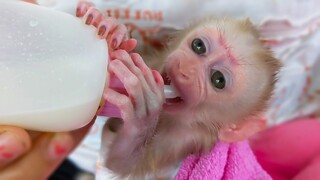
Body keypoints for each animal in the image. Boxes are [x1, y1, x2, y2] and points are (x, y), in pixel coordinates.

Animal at [77, 2, 280, 179]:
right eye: (198, 46)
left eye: (218, 80)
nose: (184, 69)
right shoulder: (155, 64)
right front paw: (112, 29)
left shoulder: (182, 140)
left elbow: (119, 164)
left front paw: (141, 116)